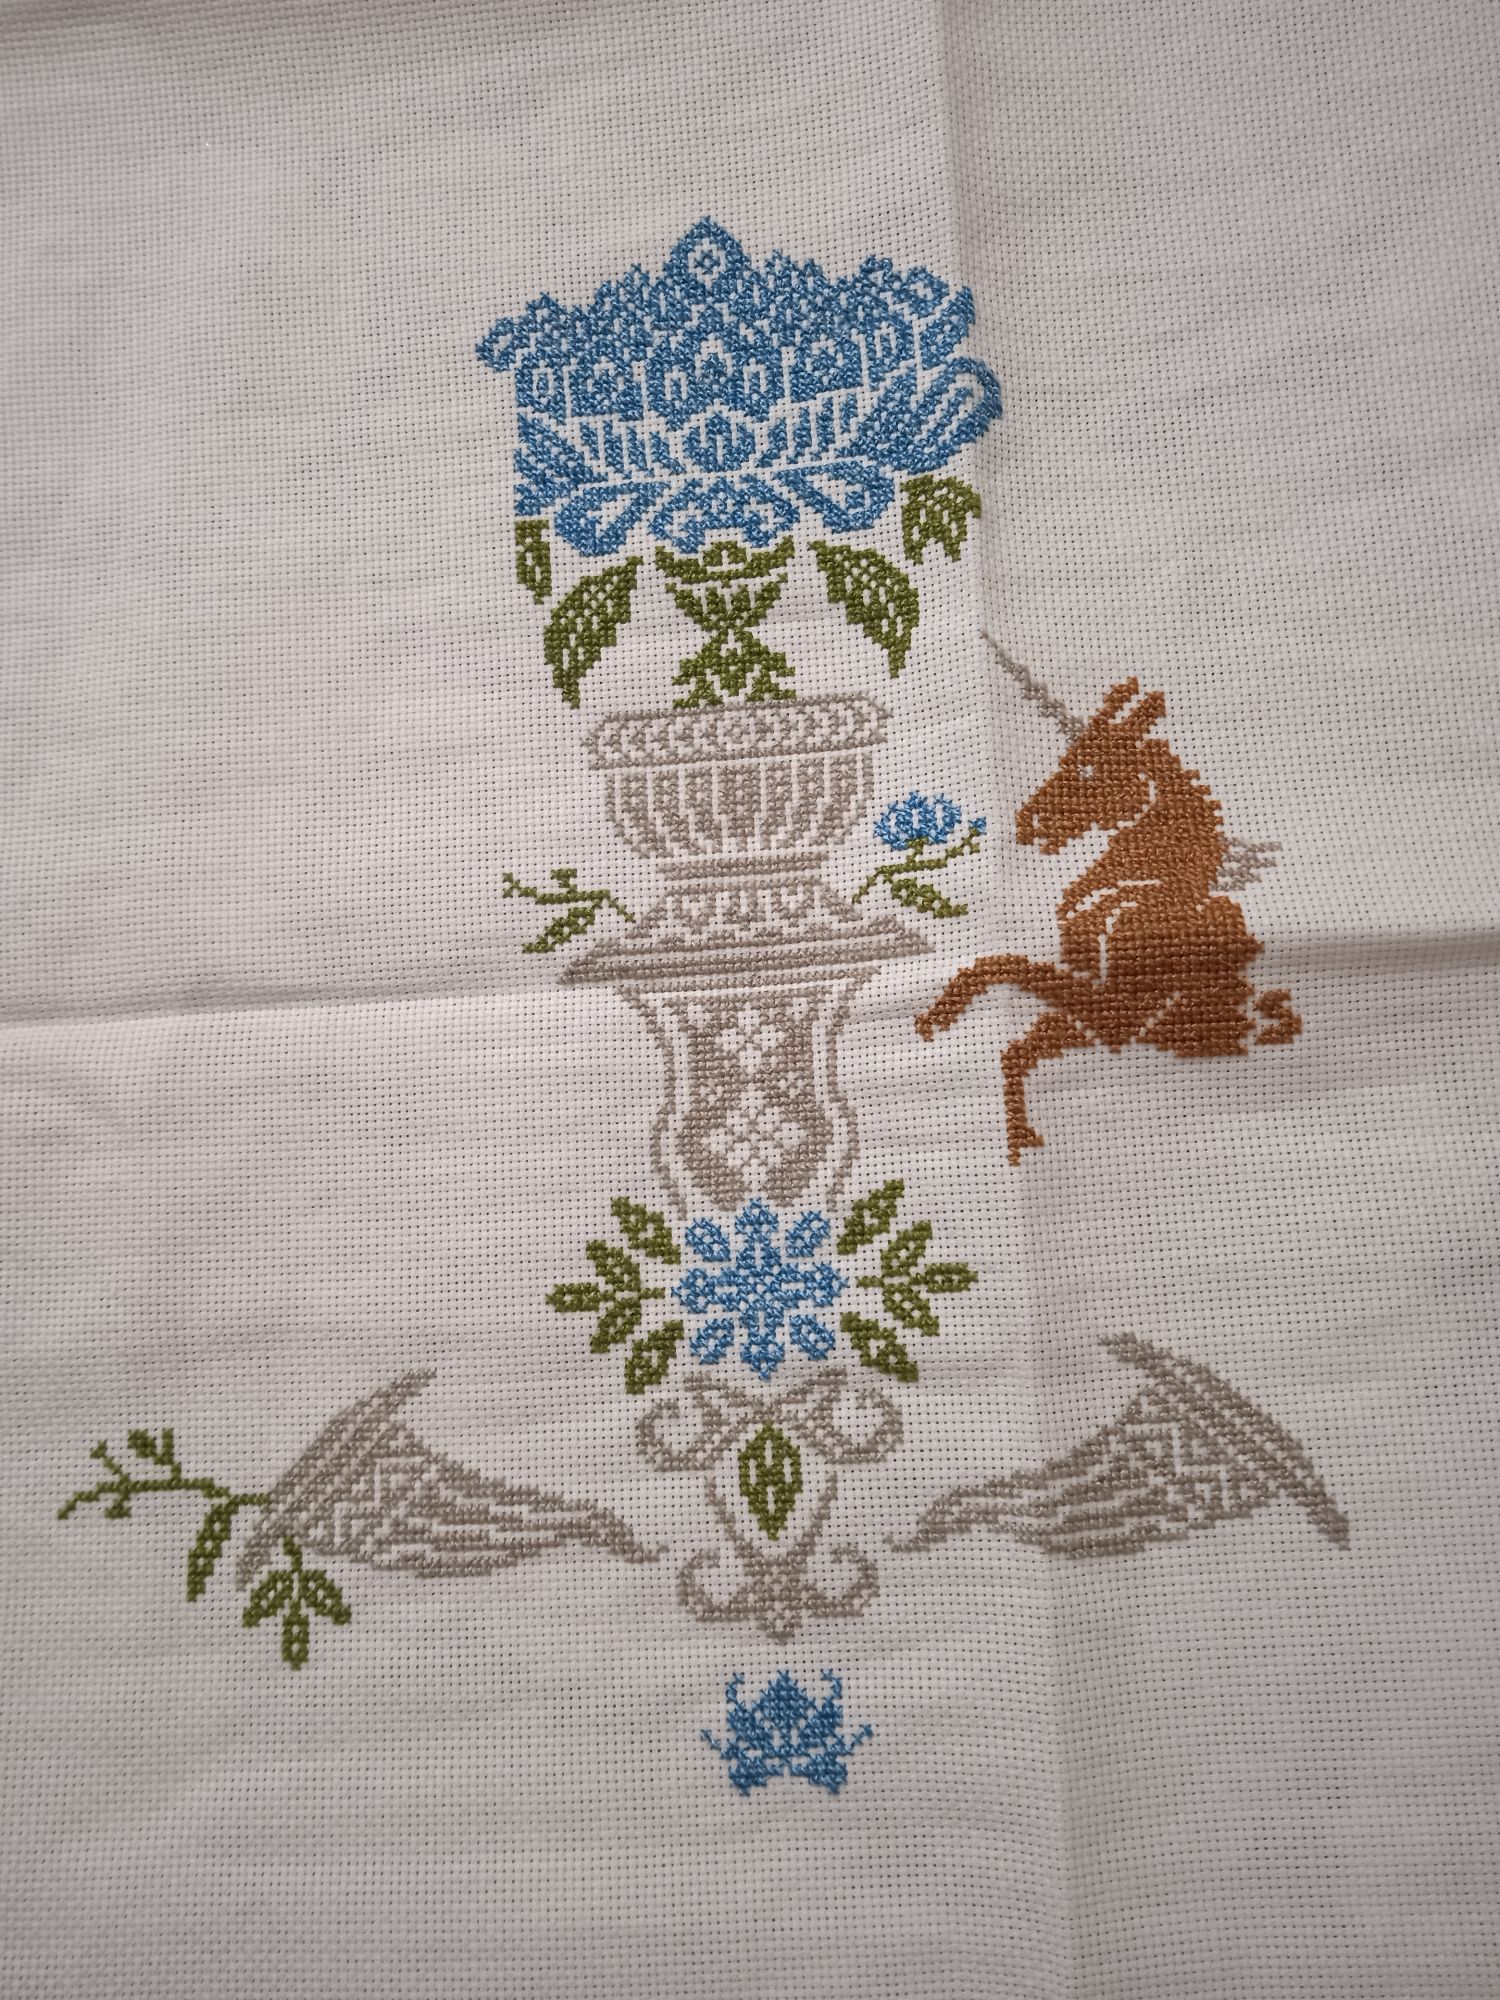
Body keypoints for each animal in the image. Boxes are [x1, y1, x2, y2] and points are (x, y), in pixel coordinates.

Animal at [915, 640, 1300, 1164]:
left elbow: (1007, 967)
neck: (1144, 891)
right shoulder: (1093, 1020)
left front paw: (940, 1014)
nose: (1027, 822)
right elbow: (1018, 1044)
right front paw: (1019, 1137)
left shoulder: (1118, 1017)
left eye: (1087, 766)